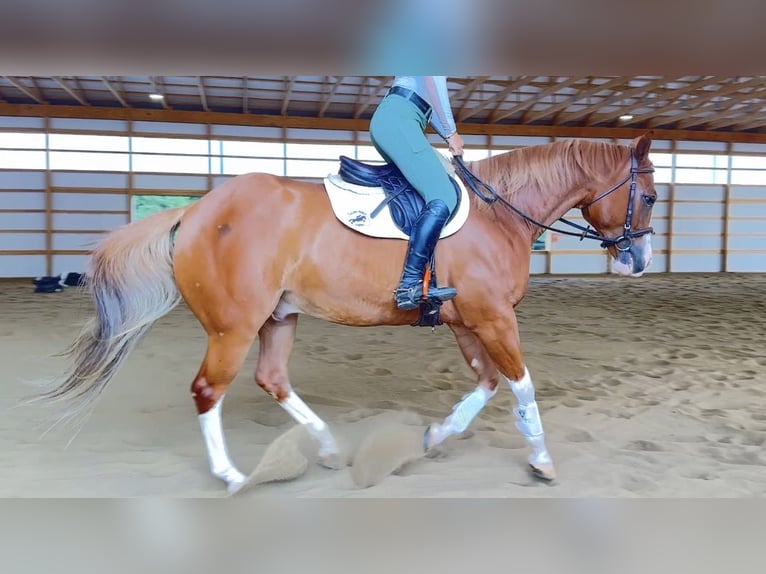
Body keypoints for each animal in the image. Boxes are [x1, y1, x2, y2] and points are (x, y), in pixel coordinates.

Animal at [33, 132, 658, 493]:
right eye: (651, 196)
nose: (640, 259)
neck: (499, 213)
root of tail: (197, 211)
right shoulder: (494, 318)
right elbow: (522, 386)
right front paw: (543, 462)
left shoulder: (468, 321)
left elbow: (486, 385)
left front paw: (432, 438)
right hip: (234, 327)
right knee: (209, 390)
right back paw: (233, 476)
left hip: (279, 317)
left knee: (272, 378)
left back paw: (329, 449)